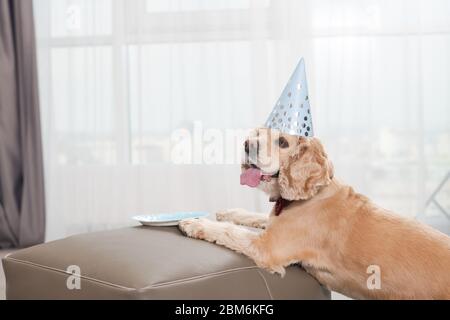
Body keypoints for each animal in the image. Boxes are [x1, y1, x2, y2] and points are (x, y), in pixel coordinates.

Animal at [179, 127, 450, 300]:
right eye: (259, 134)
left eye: (283, 142)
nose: (247, 145)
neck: (314, 193)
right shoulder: (275, 224)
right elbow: (255, 216)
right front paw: (229, 211)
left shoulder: (268, 247)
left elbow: (229, 231)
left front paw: (194, 223)